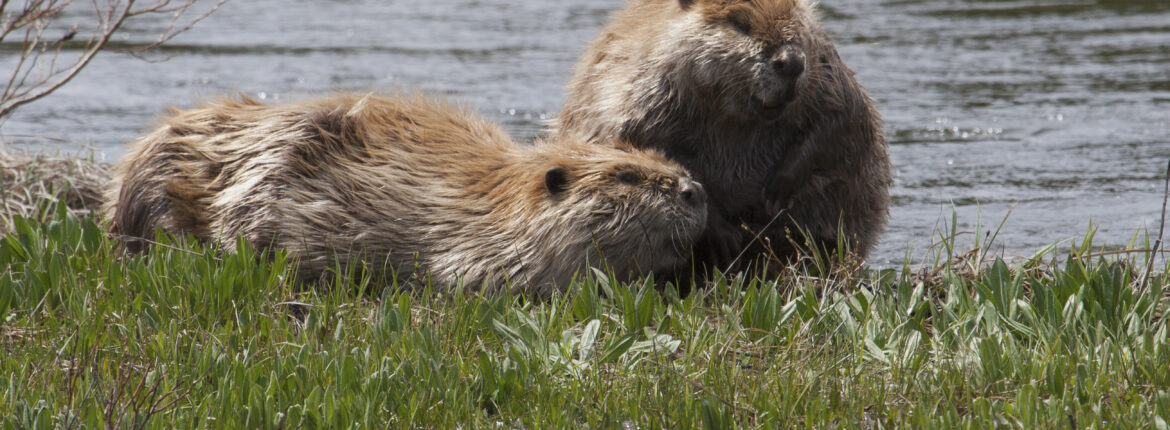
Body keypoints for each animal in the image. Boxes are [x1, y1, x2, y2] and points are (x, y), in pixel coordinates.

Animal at [552, 0, 889, 272]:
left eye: (796, 17)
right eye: (740, 24)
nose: (791, 63)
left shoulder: (825, 66)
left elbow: (844, 118)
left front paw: (779, 187)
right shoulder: (641, 87)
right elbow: (644, 143)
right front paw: (724, 234)